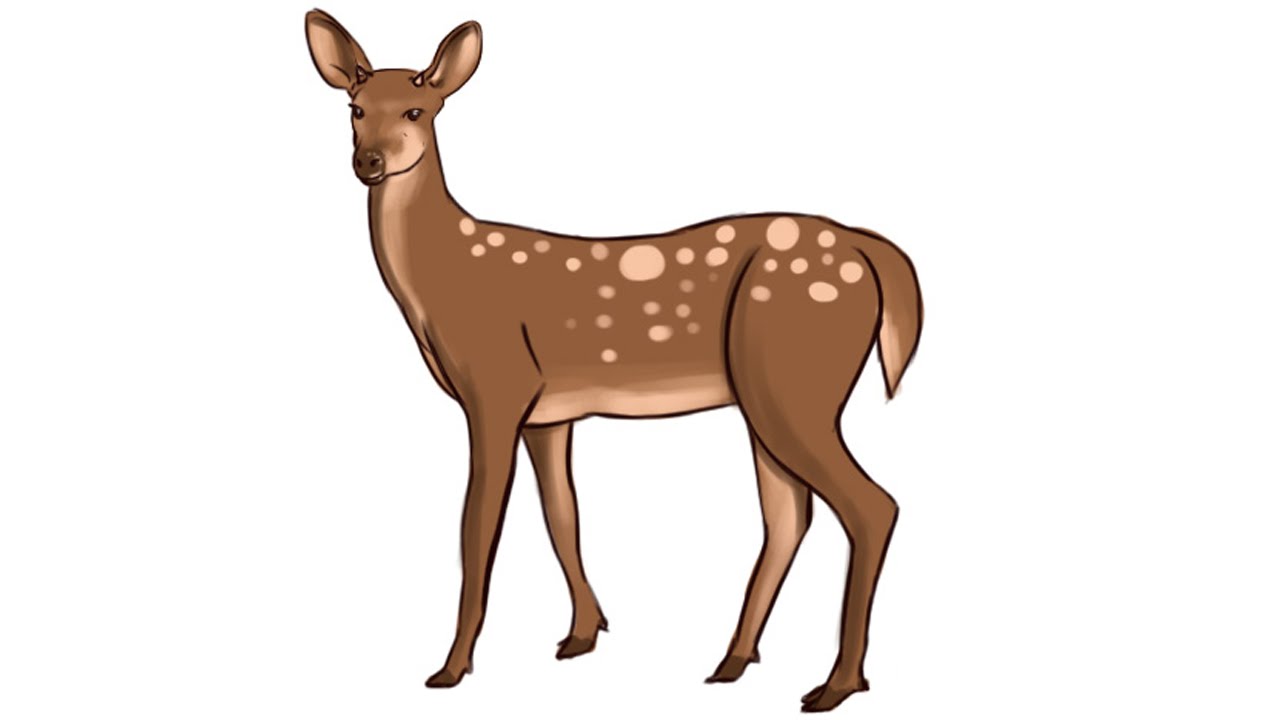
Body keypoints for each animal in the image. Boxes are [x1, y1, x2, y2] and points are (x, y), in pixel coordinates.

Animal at [304, 10, 922, 713]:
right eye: (354, 108)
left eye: (417, 109)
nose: (369, 161)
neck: (446, 284)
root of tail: (868, 252)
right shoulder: (549, 411)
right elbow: (562, 514)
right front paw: (582, 633)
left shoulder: (496, 383)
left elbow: (477, 526)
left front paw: (452, 667)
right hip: (767, 389)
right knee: (790, 515)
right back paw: (733, 661)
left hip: (795, 377)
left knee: (871, 506)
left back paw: (836, 684)